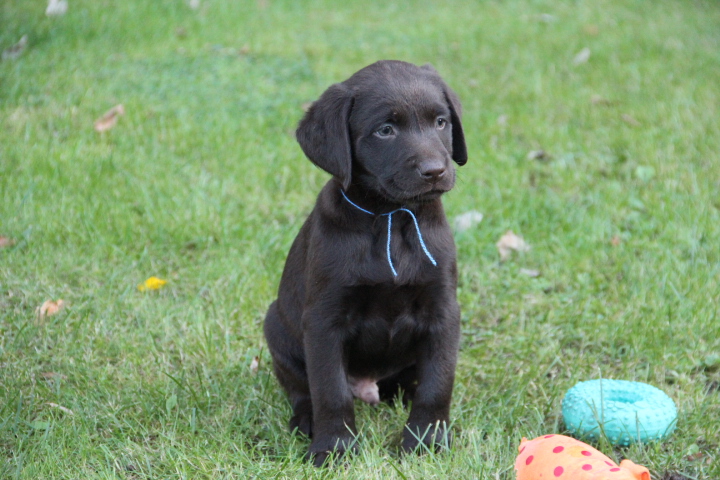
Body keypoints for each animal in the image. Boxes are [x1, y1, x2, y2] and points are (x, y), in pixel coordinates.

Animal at [263, 60, 467, 466]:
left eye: (441, 122)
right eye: (385, 130)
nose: (435, 171)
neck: (391, 217)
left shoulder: (443, 311)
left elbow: (437, 383)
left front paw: (426, 442)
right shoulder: (324, 319)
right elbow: (330, 390)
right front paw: (334, 448)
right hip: (276, 326)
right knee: (301, 389)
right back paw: (305, 421)